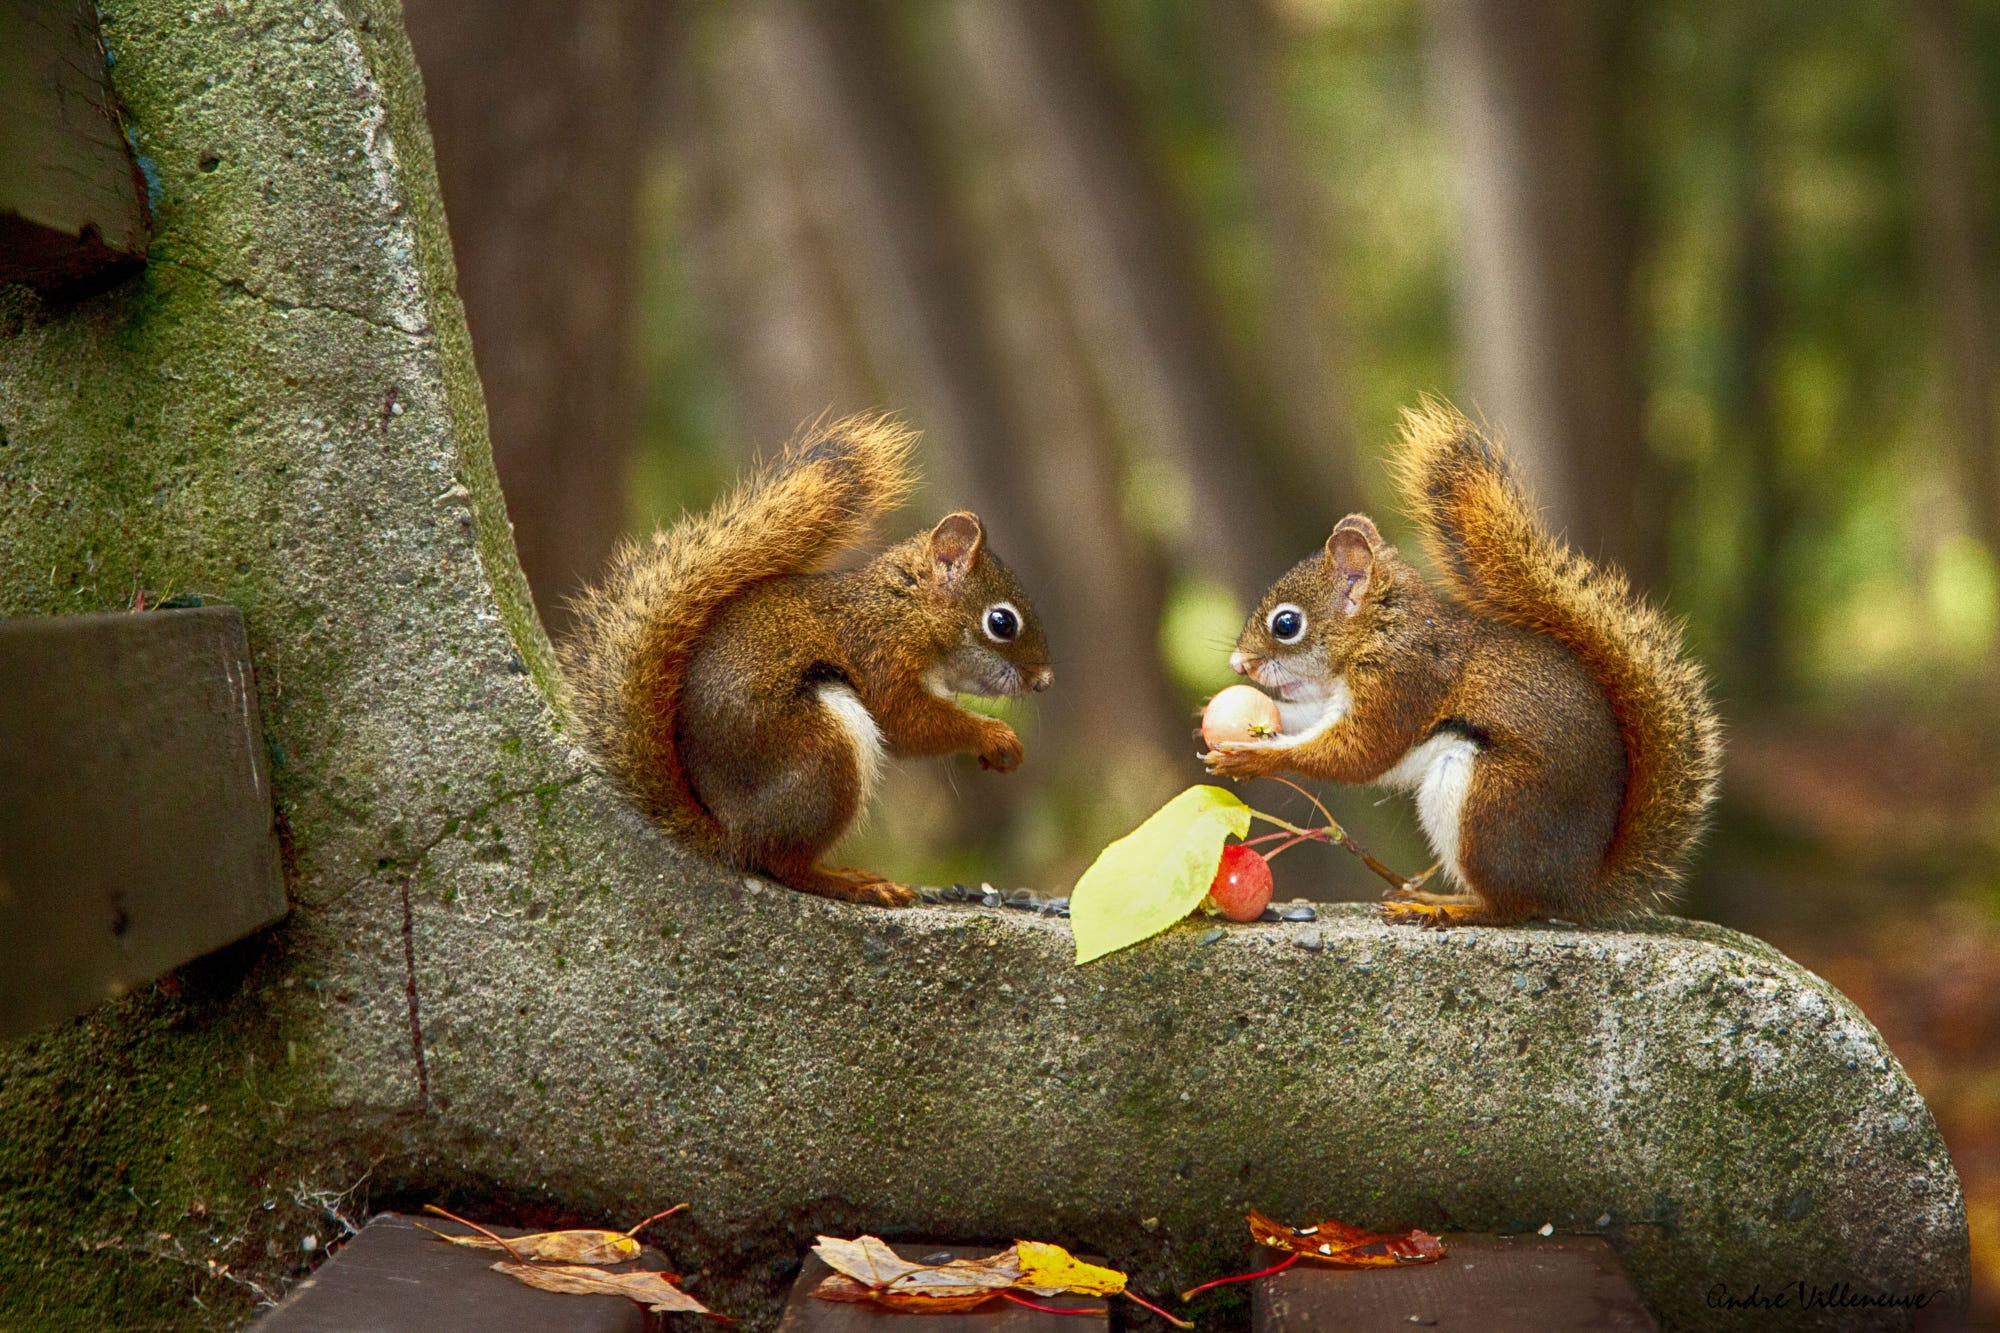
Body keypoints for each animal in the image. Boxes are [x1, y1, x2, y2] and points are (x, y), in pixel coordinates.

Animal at [556, 418, 1056, 904]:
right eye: (1001, 622)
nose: (1044, 681)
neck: (905, 610)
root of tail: (731, 834)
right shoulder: (881, 655)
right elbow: (908, 724)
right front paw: (995, 736)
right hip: (823, 751)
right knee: (783, 863)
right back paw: (852, 883)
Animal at [1200, 396, 1720, 924]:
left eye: (1286, 624)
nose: (1240, 665)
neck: (1380, 631)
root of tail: (1574, 890)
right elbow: (1307, 718)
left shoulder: (1402, 682)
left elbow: (1358, 753)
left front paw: (1252, 758)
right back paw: (1434, 897)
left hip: (1486, 800)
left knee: (1509, 908)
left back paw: (1442, 909)